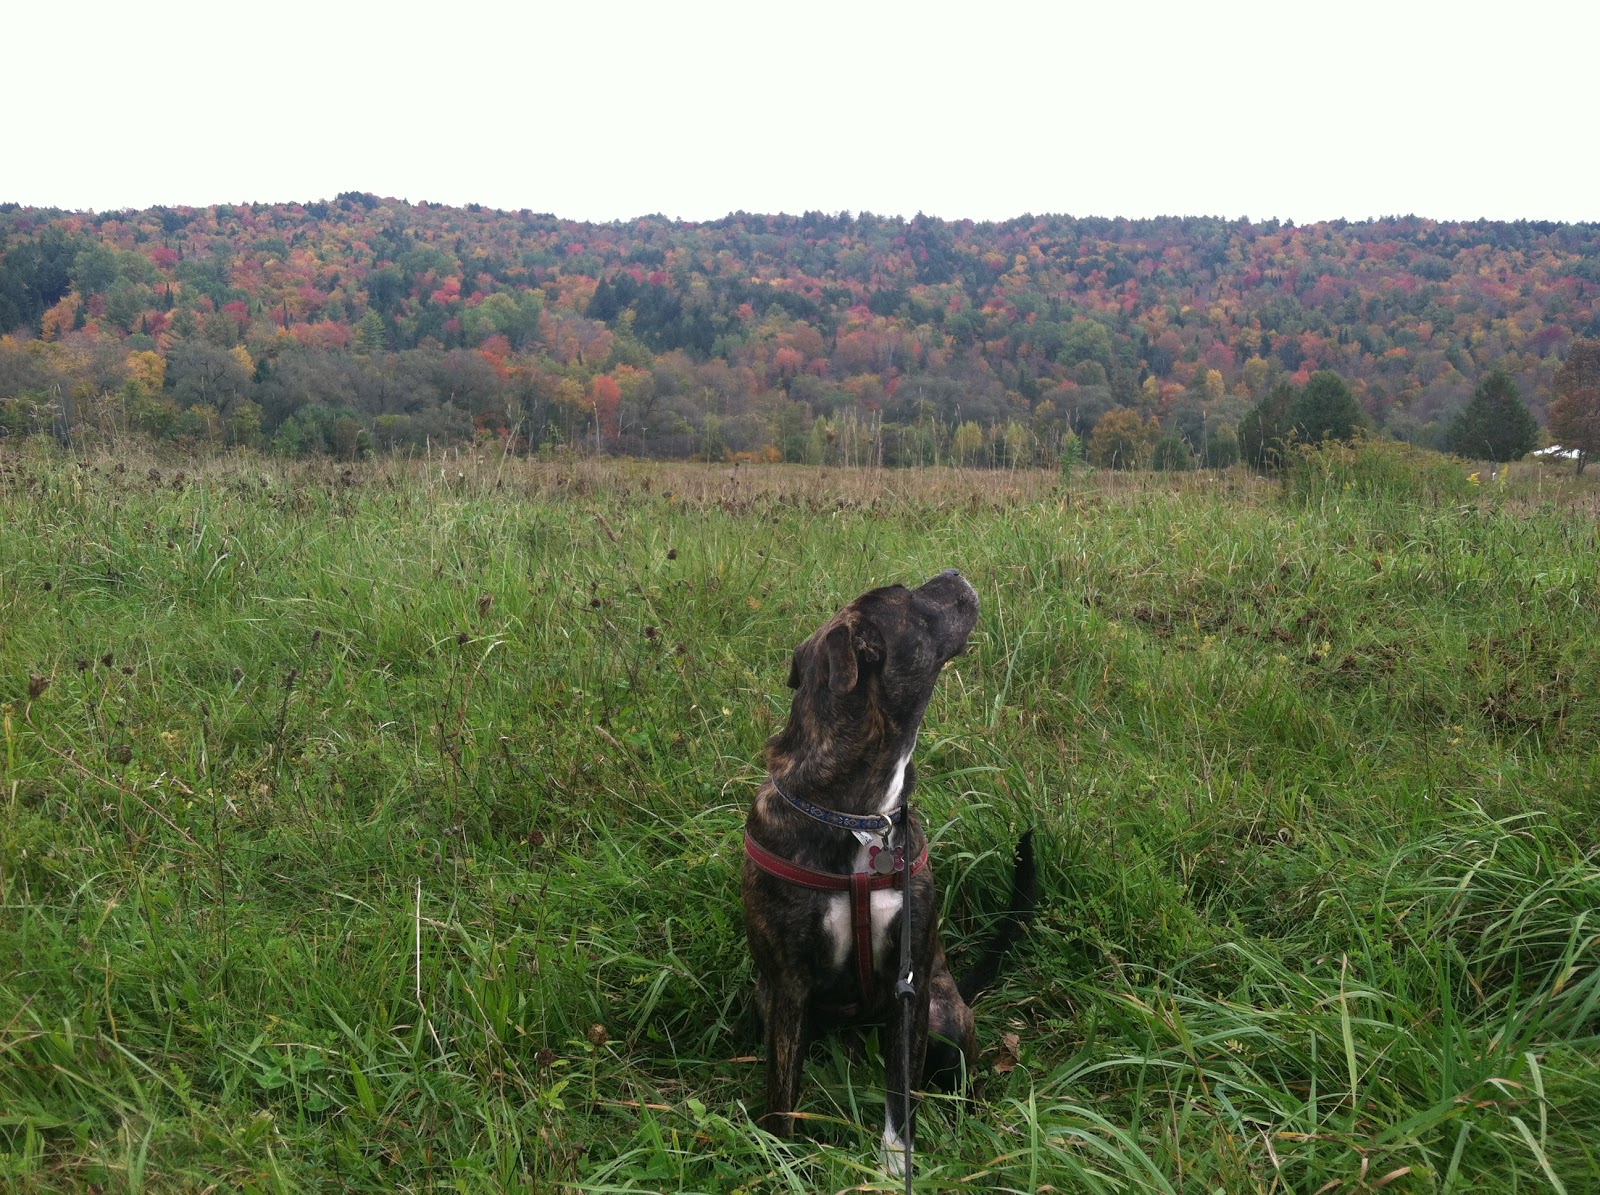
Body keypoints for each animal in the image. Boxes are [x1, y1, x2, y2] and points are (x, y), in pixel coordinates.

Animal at [741, 568, 1036, 1174]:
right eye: (913, 598)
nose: (954, 573)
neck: (859, 817)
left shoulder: (912, 986)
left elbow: (902, 1093)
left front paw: (896, 1166)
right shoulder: (785, 989)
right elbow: (782, 1094)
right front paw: (781, 1163)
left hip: (947, 1017)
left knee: (964, 1080)